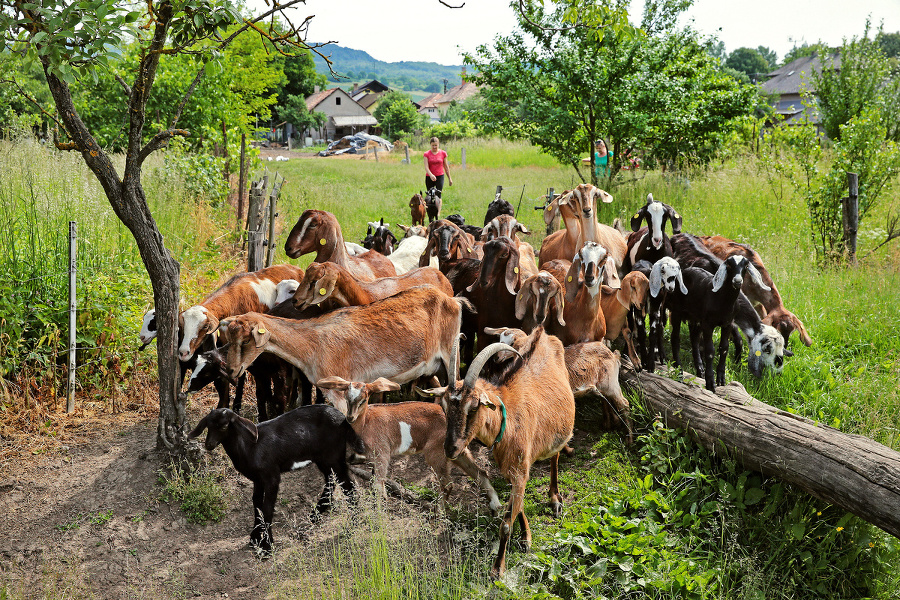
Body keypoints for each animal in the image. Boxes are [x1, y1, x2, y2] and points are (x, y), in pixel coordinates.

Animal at [190, 406, 362, 556]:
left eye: (225, 426)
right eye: (208, 425)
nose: (209, 445)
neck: (249, 448)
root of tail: (343, 419)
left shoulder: (271, 475)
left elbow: (267, 508)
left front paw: (267, 547)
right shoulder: (257, 479)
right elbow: (257, 503)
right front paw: (254, 538)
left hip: (334, 455)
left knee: (348, 486)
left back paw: (353, 525)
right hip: (323, 458)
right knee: (331, 479)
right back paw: (317, 513)